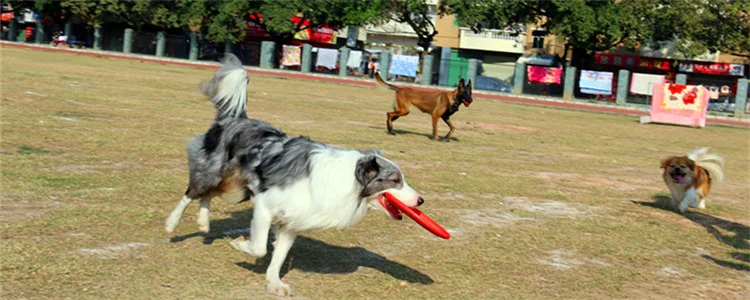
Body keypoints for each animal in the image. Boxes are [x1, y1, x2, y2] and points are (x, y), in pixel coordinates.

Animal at [165, 55, 426, 296]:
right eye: (396, 180)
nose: (421, 200)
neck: (348, 180)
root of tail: (235, 119)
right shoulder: (265, 206)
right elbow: (260, 247)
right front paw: (240, 245)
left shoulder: (293, 219)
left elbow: (279, 255)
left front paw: (273, 283)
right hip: (213, 172)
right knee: (192, 192)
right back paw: (171, 223)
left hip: (238, 188)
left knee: (207, 196)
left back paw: (203, 222)